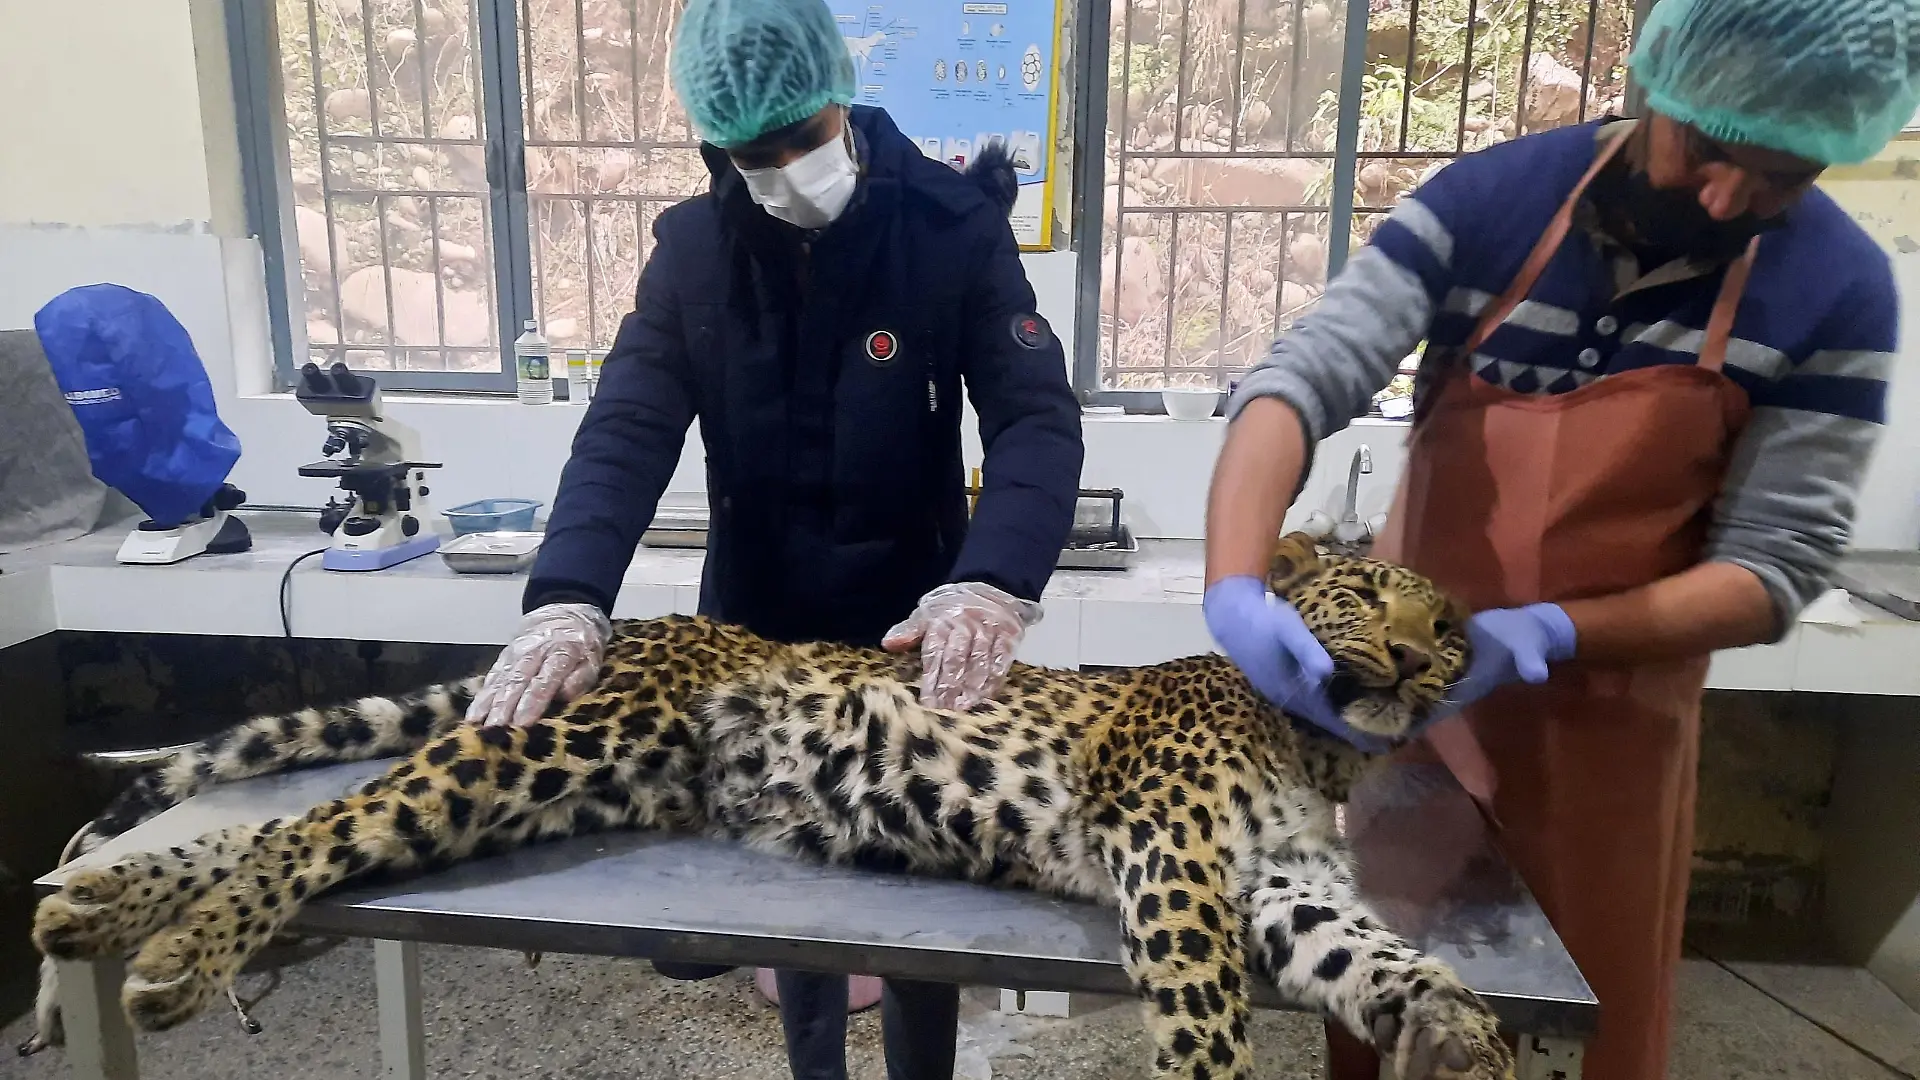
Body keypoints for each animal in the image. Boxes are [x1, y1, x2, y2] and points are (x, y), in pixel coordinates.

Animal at [25, 532, 1509, 1080]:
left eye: (1450, 627)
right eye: (1368, 598)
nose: (1426, 660)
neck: (1322, 747)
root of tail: (637, 626)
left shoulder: (1287, 883)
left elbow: (1378, 956)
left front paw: (1459, 1030)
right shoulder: (1174, 855)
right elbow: (1205, 1022)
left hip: (578, 785)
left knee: (292, 824)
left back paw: (99, 903)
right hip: (567, 741)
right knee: (321, 827)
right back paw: (173, 955)